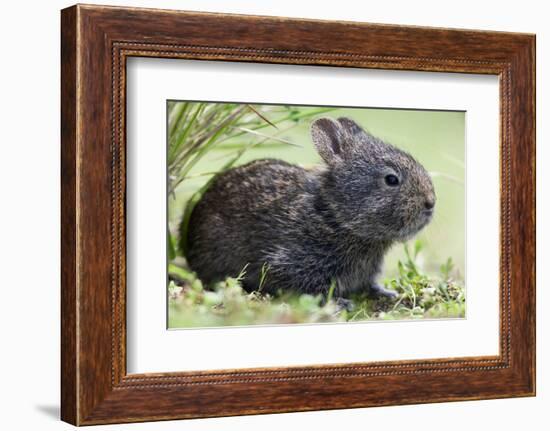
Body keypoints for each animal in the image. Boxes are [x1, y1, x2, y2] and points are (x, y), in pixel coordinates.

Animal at [184, 116, 436, 308]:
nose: (431, 203)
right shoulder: (294, 263)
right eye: (391, 179)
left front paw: (387, 293)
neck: (335, 215)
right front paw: (340, 303)